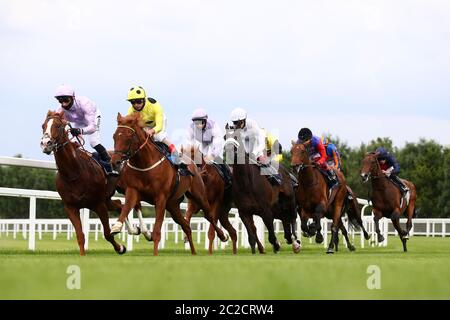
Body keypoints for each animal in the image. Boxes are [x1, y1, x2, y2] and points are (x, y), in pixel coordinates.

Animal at [40, 111, 125, 256]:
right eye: (43, 125)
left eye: (58, 126)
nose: (46, 143)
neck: (74, 173)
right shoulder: (71, 207)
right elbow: (80, 235)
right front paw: (82, 255)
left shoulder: (98, 204)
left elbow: (107, 234)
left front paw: (120, 248)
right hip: (107, 198)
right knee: (120, 205)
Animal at [109, 112, 229, 255]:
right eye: (114, 136)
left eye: (128, 137)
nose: (115, 162)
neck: (145, 165)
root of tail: (194, 165)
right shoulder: (133, 190)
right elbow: (126, 207)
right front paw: (117, 227)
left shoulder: (160, 198)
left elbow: (157, 229)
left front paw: (155, 253)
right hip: (173, 204)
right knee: (186, 225)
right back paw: (193, 252)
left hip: (199, 195)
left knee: (209, 215)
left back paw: (223, 236)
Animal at [223, 126, 300, 254]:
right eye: (225, 137)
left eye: (237, 136)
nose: (229, 152)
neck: (246, 183)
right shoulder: (244, 212)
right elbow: (251, 236)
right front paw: (257, 251)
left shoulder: (266, 211)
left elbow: (271, 235)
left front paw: (276, 245)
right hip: (278, 208)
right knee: (285, 219)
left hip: (289, 200)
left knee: (293, 216)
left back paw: (296, 242)